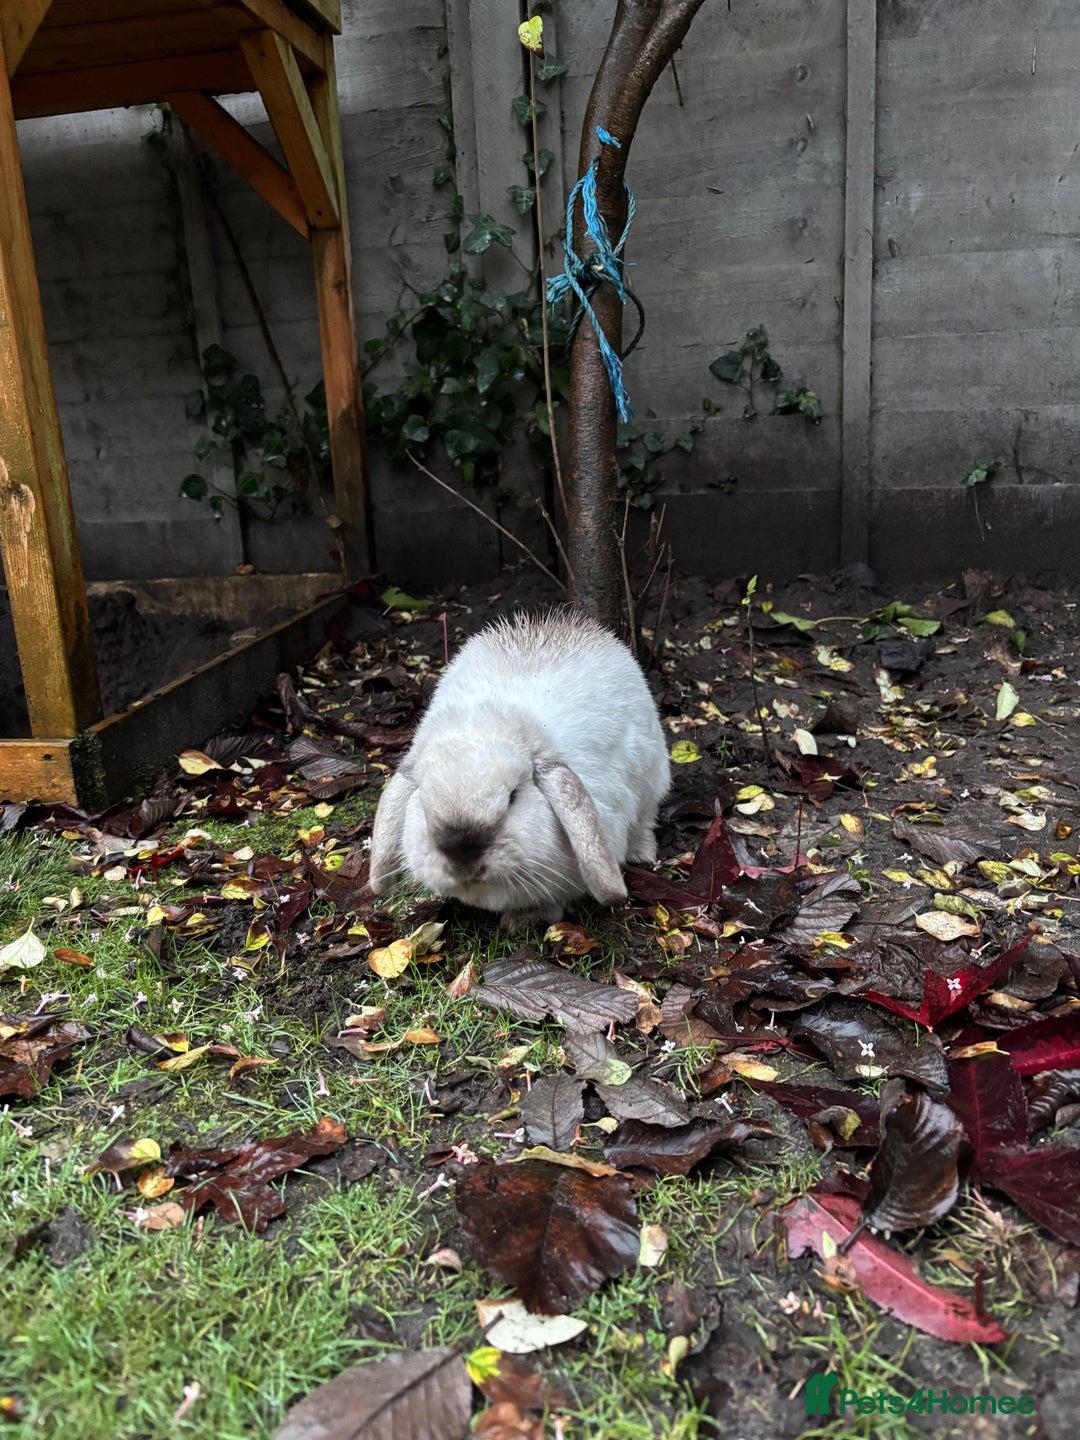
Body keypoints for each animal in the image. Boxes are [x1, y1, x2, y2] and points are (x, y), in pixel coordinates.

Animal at [368, 609, 670, 928]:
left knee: (645, 818)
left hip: (653, 776)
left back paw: (642, 853)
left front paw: (523, 920)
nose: (463, 860)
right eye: (424, 804)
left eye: (513, 797)